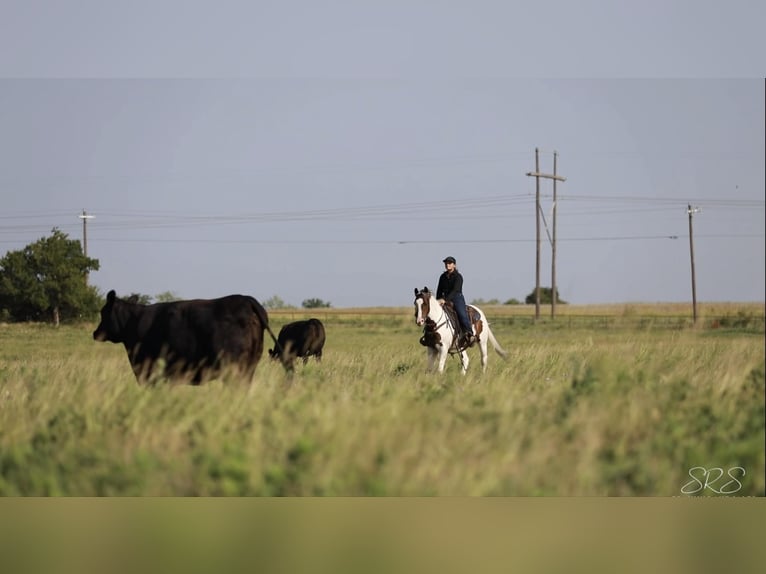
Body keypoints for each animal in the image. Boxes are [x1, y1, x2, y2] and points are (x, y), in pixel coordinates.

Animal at [93, 290, 280, 384]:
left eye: (103, 312)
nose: (95, 333)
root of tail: (246, 300)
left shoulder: (147, 372)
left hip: (233, 367)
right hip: (250, 365)